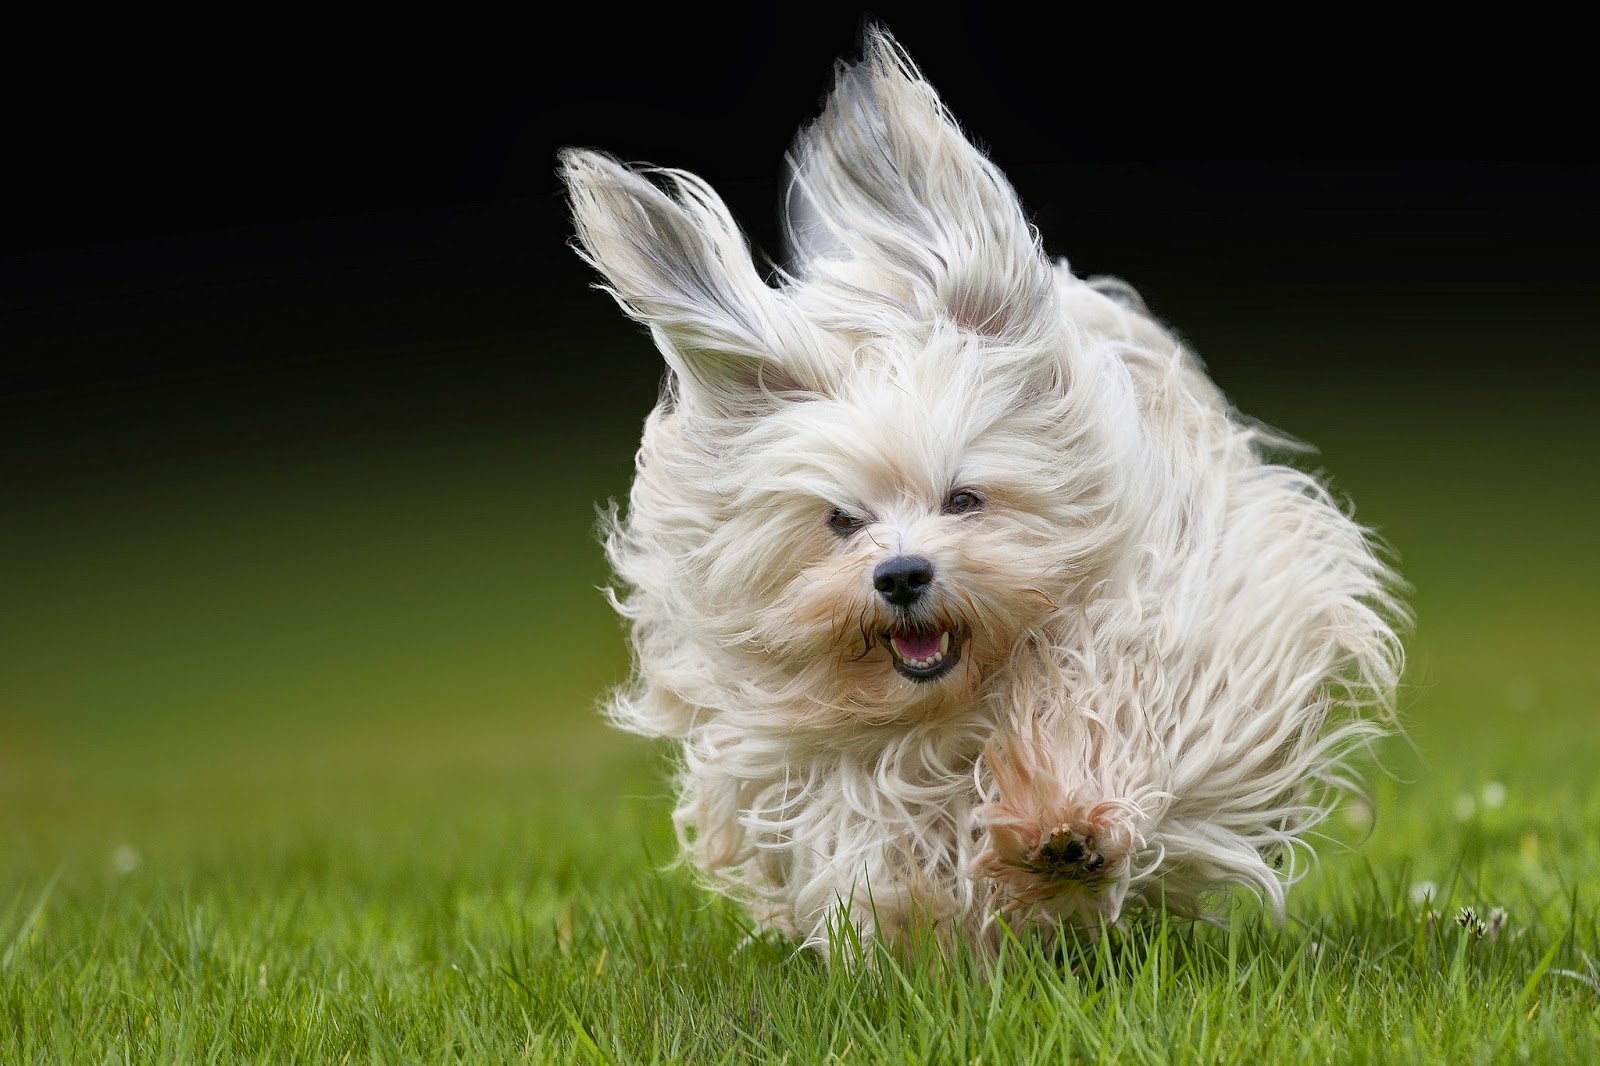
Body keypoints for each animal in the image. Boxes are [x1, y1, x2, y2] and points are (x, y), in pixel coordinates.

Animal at [560, 27, 1401, 953]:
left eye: (964, 498)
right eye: (841, 520)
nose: (901, 575)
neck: (958, 700)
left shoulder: (1192, 619)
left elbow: (1119, 707)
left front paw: (1065, 824)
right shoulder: (801, 757)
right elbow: (874, 832)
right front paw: (936, 912)